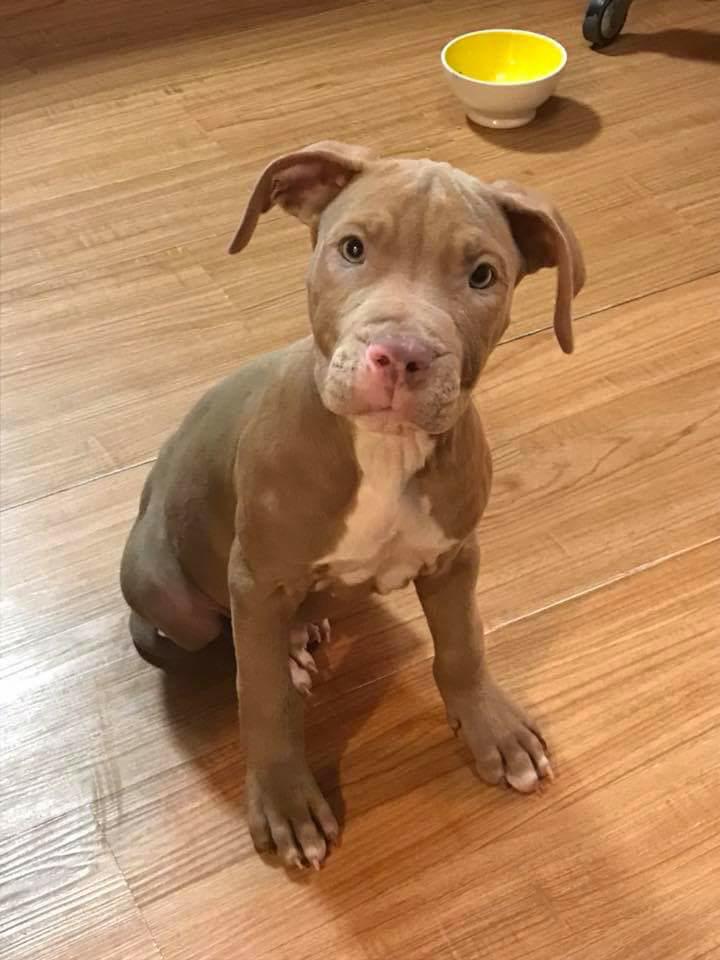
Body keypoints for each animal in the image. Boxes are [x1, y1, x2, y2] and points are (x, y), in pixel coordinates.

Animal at [120, 141, 585, 869]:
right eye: (353, 249)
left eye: (483, 276)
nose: (402, 354)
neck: (384, 452)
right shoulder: (258, 575)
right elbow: (262, 698)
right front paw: (285, 800)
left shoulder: (456, 557)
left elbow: (463, 646)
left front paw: (493, 731)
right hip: (172, 597)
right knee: (220, 632)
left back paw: (302, 631)